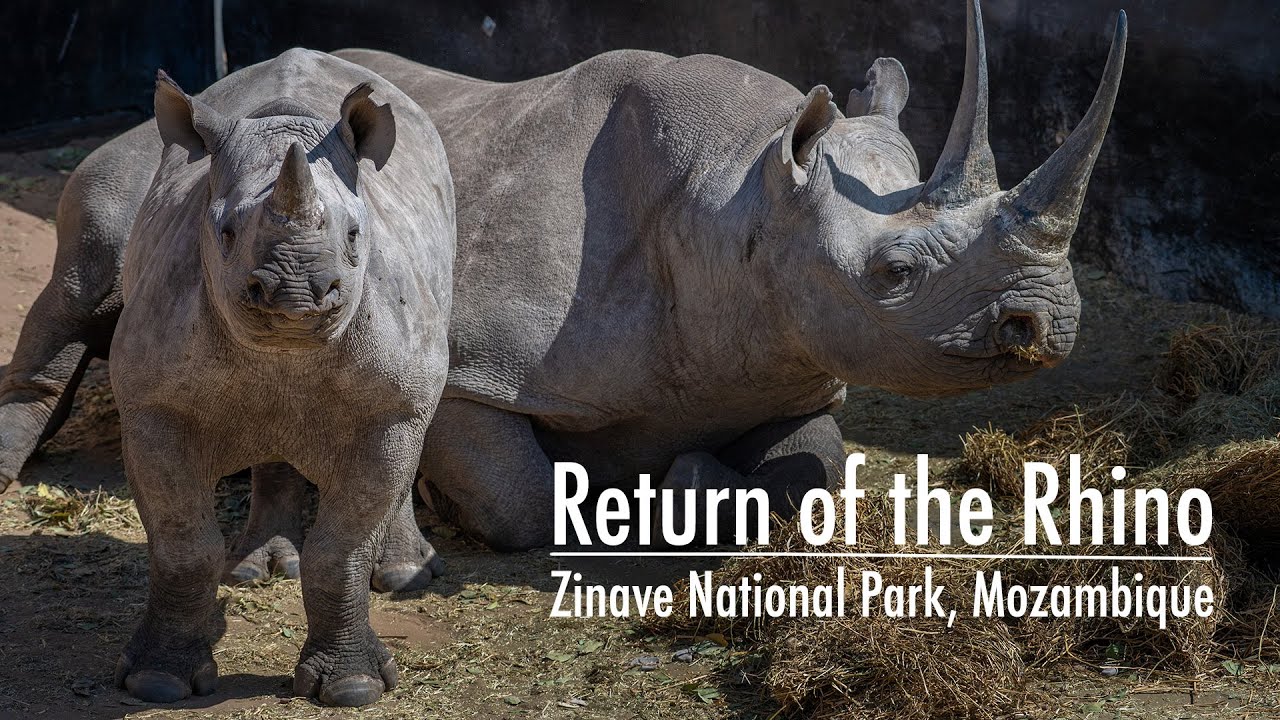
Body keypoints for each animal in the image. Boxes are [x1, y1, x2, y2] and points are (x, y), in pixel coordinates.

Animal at [106, 50, 453, 706]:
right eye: (224, 233)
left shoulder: (387, 406)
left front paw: (353, 688)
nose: (295, 293)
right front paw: (157, 681)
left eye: (354, 235)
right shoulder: (151, 405)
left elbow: (341, 548)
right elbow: (183, 544)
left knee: (421, 414)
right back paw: (252, 567)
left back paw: (400, 575)